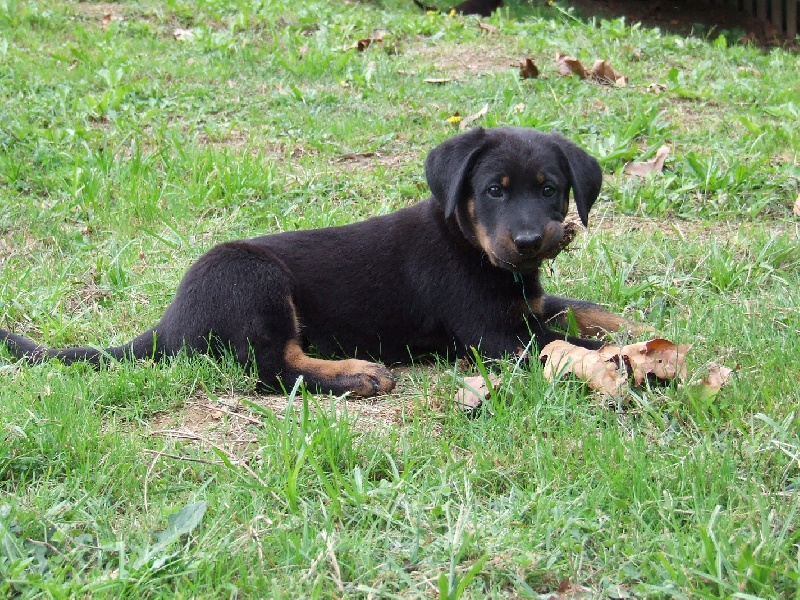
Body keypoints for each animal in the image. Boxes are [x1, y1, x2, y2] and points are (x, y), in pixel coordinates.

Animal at [0, 126, 636, 396]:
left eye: (550, 189)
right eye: (494, 191)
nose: (528, 242)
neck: (470, 243)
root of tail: (169, 323)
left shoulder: (526, 303)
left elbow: (582, 308)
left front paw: (634, 325)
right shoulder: (496, 334)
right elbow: (572, 343)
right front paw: (627, 357)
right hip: (251, 279)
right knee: (271, 370)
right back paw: (356, 374)